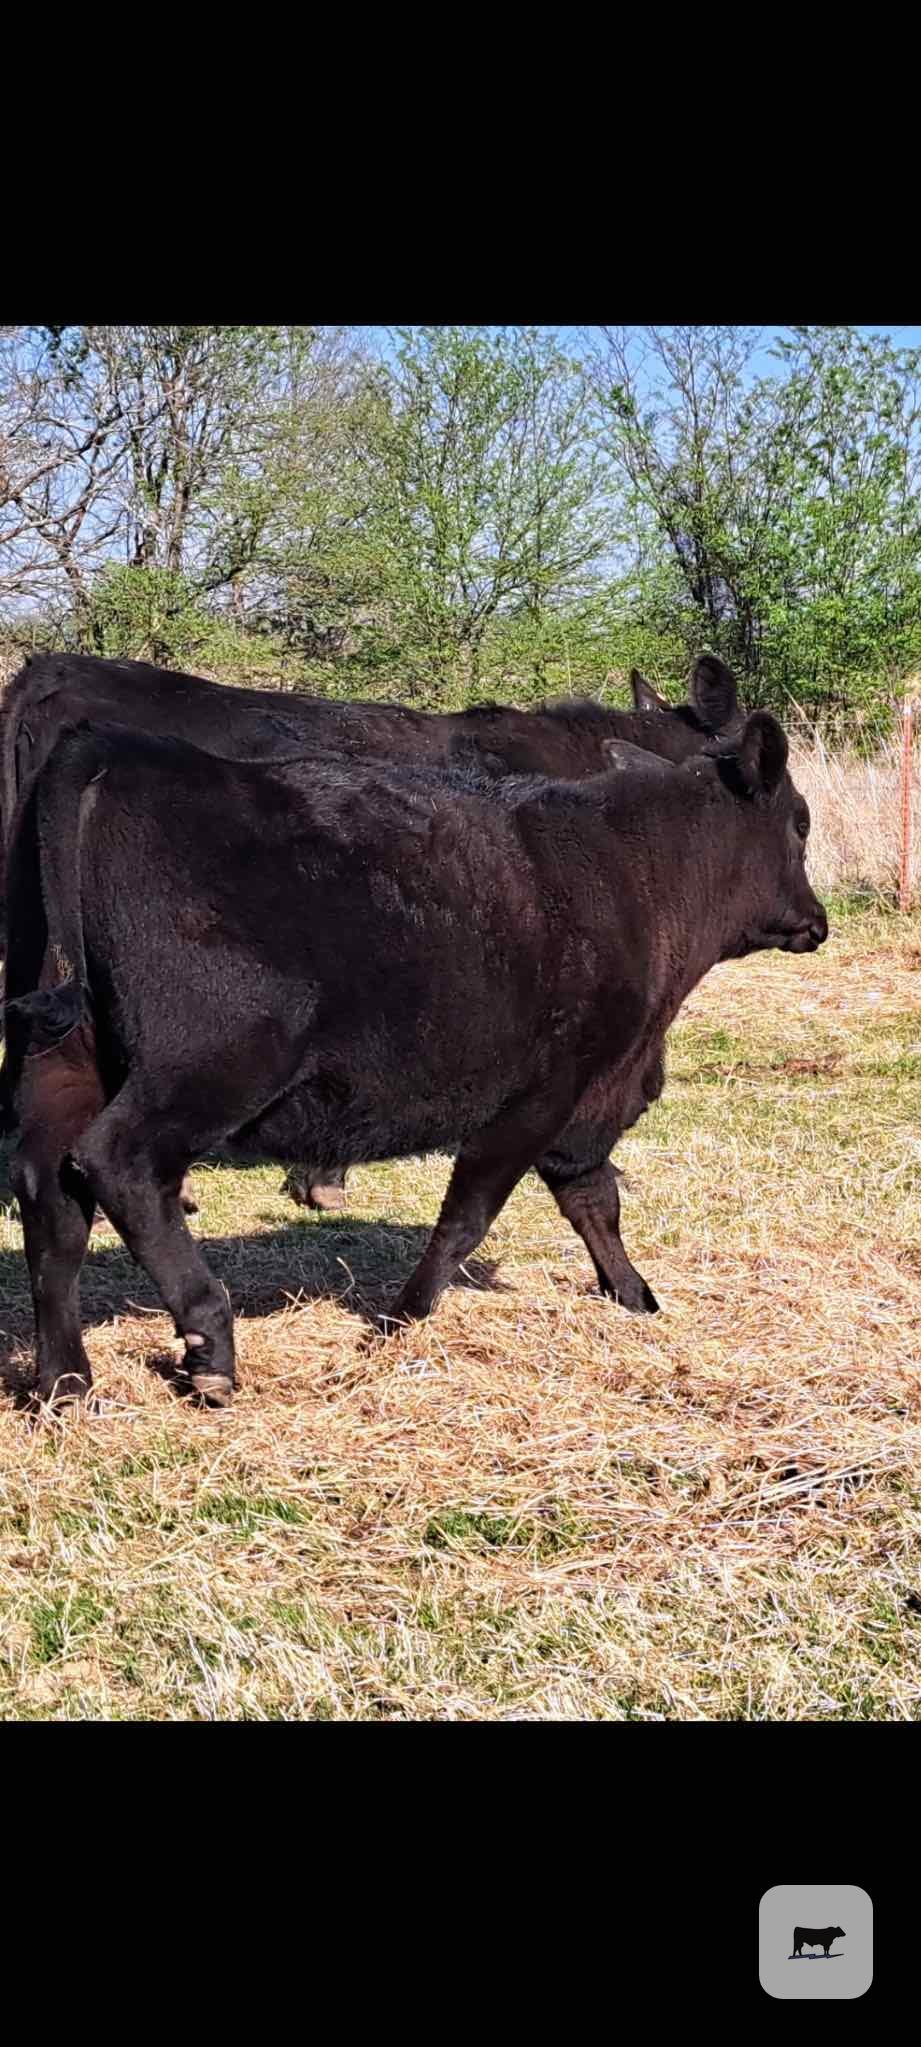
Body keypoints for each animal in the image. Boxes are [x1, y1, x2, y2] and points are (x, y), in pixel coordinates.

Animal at [3, 705, 826, 1412]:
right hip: (214, 1060)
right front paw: (399, 1322)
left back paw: (64, 1382)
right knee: (119, 1163)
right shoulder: (540, 1092)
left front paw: (633, 1294)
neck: (631, 872)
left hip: (60, 1059)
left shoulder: (588, 1099)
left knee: (50, 1203)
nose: (816, 920)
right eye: (801, 821)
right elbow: (470, 1215)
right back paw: (209, 1343)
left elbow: (594, 1198)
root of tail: (111, 746)